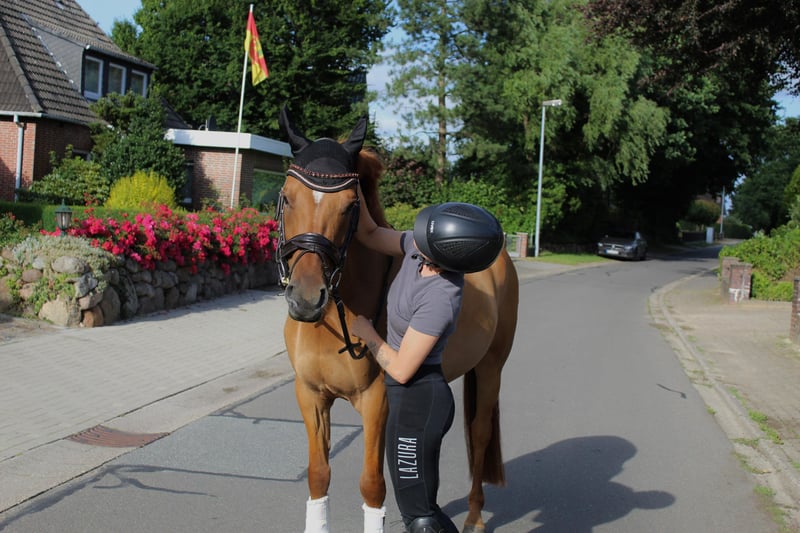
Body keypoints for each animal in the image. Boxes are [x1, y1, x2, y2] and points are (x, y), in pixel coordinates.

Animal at [275, 106, 519, 533]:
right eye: (287, 198)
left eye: (349, 205)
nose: (306, 299)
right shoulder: (311, 395)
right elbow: (318, 476)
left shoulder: (378, 402)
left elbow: (373, 485)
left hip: (491, 368)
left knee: (479, 433)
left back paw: (474, 516)